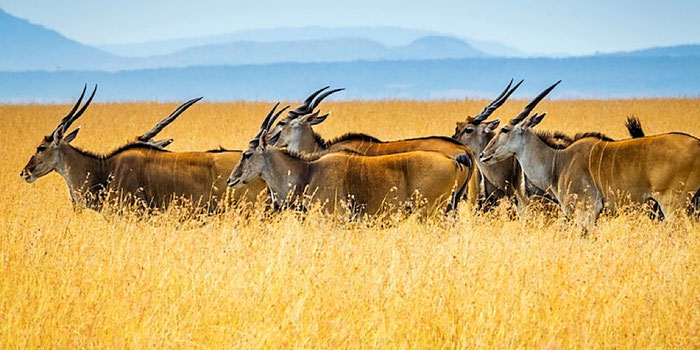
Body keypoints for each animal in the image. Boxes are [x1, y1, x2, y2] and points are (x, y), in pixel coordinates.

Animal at [482, 95, 700, 224]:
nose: (484, 154)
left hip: (674, 206)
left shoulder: (586, 210)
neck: (558, 161)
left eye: (504, 129)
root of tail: (698, 144)